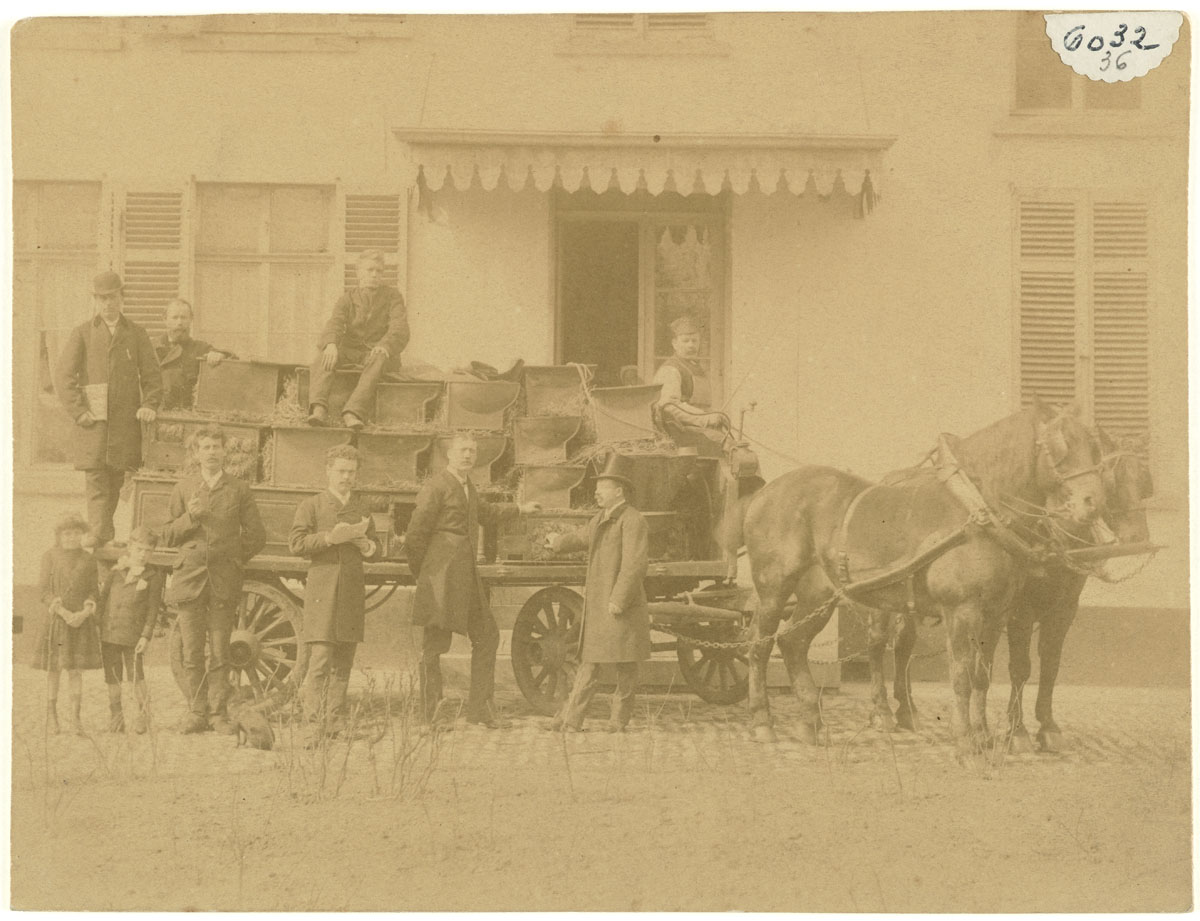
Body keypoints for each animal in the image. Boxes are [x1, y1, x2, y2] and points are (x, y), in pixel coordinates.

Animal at [734, 398, 1108, 757]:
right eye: (1060, 445)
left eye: (1095, 447)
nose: (1092, 503)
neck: (977, 512)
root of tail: (764, 493)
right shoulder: (962, 610)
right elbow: (961, 675)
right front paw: (966, 743)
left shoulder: (996, 614)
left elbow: (982, 676)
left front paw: (983, 737)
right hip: (774, 588)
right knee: (759, 645)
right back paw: (762, 721)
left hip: (820, 595)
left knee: (793, 642)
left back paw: (811, 721)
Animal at [1003, 426, 1152, 753]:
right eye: (1111, 478)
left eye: (1145, 479)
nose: (1138, 537)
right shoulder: (1019, 610)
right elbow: (1020, 666)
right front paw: (1017, 730)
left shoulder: (1064, 608)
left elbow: (1051, 663)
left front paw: (1047, 726)